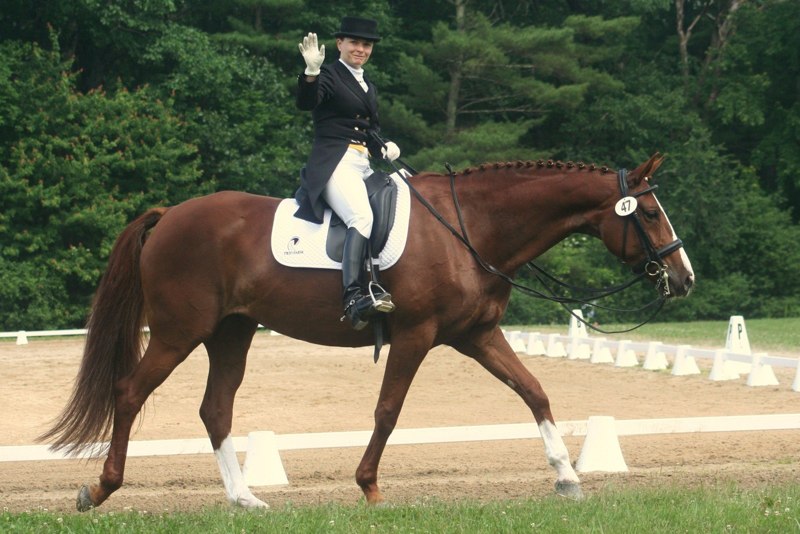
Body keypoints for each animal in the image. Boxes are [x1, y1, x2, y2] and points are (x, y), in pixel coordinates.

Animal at [40, 152, 694, 510]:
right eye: (651, 212)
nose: (684, 277)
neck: (469, 227)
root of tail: (169, 214)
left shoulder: (477, 335)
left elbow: (533, 391)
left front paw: (567, 477)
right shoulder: (415, 335)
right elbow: (388, 410)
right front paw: (369, 487)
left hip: (232, 333)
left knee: (215, 409)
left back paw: (244, 498)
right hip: (180, 333)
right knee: (130, 393)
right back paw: (99, 489)